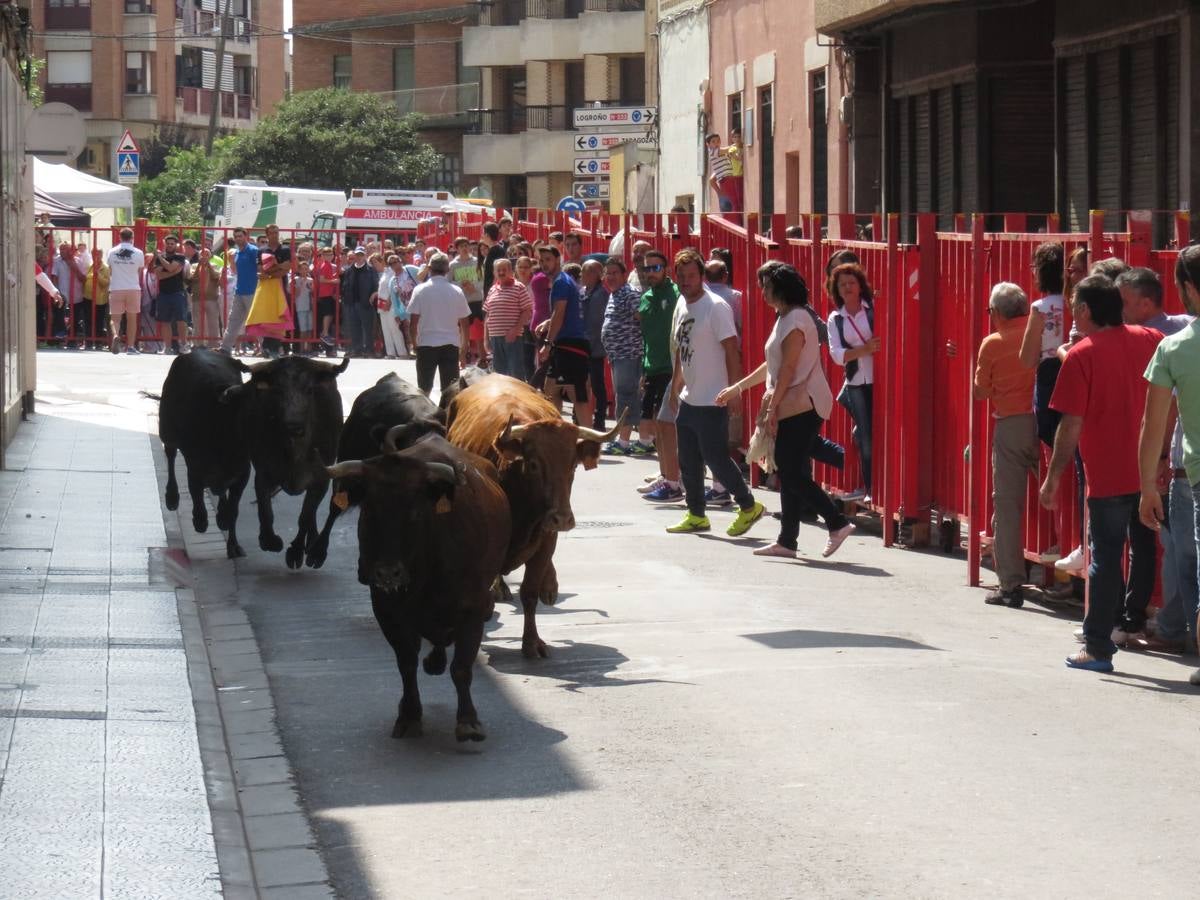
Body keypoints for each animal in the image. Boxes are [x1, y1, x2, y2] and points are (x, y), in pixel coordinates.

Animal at [446, 376, 624, 657]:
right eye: (533, 464)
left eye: (573, 465)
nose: (563, 519)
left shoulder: (545, 539)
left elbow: (529, 593)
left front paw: (532, 642)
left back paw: (549, 587)